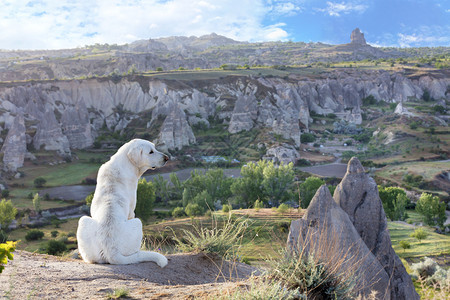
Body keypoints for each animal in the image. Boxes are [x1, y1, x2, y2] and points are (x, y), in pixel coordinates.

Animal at [77, 139, 169, 268]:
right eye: (151, 152)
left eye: (155, 148)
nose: (167, 158)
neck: (125, 163)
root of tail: (111, 250)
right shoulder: (131, 212)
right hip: (138, 222)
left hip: (83, 221)